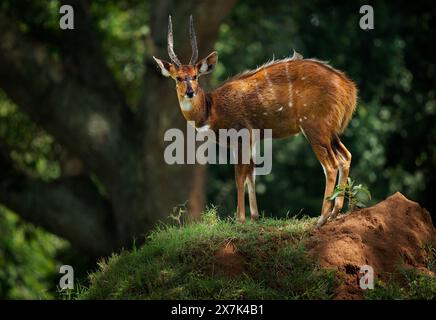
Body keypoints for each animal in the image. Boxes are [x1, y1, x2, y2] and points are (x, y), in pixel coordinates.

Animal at [153, 15, 358, 228]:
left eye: (195, 76)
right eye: (178, 78)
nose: (190, 92)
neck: (211, 110)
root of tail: (349, 89)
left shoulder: (241, 135)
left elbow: (239, 176)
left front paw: (240, 219)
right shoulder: (250, 140)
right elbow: (251, 173)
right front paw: (254, 216)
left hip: (314, 127)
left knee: (331, 165)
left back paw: (322, 218)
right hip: (330, 131)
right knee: (346, 157)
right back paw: (335, 212)